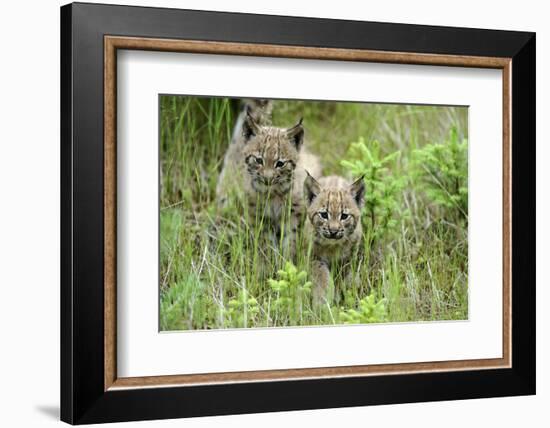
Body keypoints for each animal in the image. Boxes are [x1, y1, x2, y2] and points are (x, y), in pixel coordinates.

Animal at [306, 173, 366, 304]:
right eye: (324, 215)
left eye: (344, 216)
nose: (333, 231)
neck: (332, 245)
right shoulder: (314, 257)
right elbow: (321, 276)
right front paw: (322, 300)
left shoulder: (348, 259)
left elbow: (343, 278)